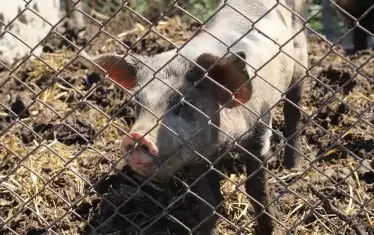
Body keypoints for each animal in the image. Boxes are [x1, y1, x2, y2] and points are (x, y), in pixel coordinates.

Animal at [78, 0, 306, 235]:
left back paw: (293, 167)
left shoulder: (260, 132)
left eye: (183, 103)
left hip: (300, 60)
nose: (136, 136)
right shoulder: (200, 157)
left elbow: (256, 192)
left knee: (293, 110)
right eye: (138, 104)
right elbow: (211, 202)